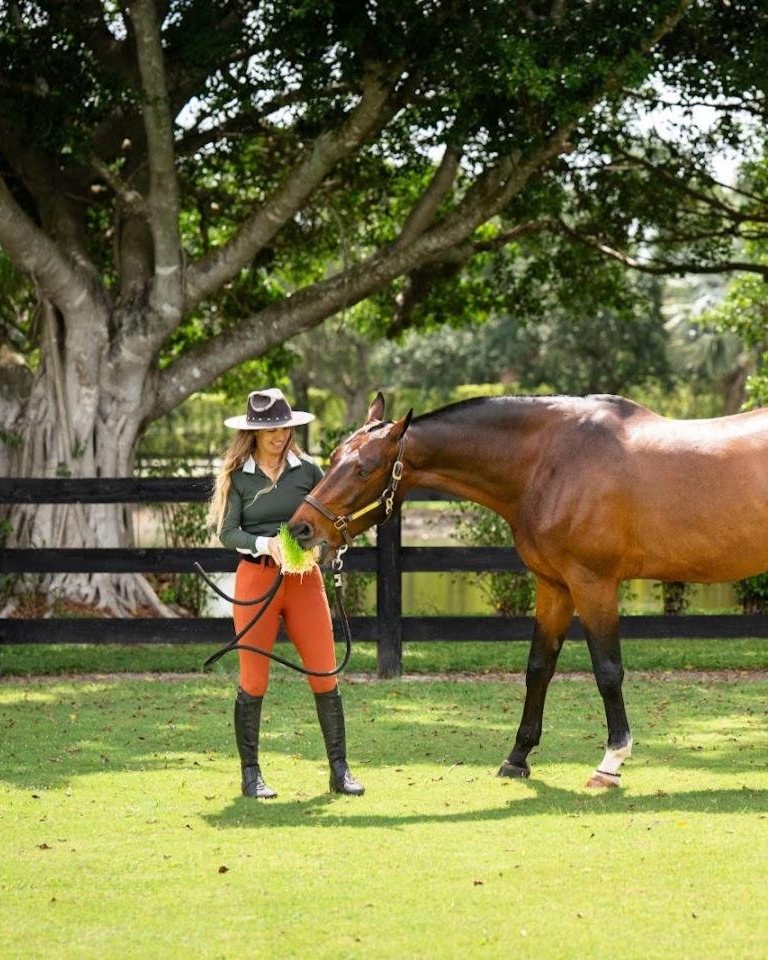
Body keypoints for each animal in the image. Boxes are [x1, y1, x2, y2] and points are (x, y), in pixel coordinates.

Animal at [288, 391, 768, 788]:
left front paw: (611, 762)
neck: (553, 461)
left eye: (364, 468)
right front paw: (517, 758)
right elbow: (539, 666)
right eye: (333, 456)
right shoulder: (553, 585)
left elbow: (607, 671)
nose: (301, 528)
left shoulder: (592, 584)